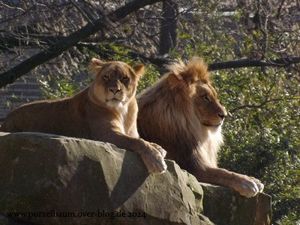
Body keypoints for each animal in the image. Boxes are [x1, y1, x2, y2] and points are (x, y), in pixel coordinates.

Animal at [0, 58, 166, 174]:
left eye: (124, 78)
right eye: (106, 77)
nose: (114, 90)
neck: (123, 111)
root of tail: (6, 119)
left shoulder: (131, 132)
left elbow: (140, 139)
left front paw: (158, 147)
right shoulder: (106, 134)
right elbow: (137, 142)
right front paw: (157, 160)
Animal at [137, 56, 264, 197]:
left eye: (214, 96)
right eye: (205, 97)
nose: (224, 115)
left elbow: (223, 170)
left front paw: (253, 180)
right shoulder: (189, 167)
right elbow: (222, 173)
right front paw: (248, 183)